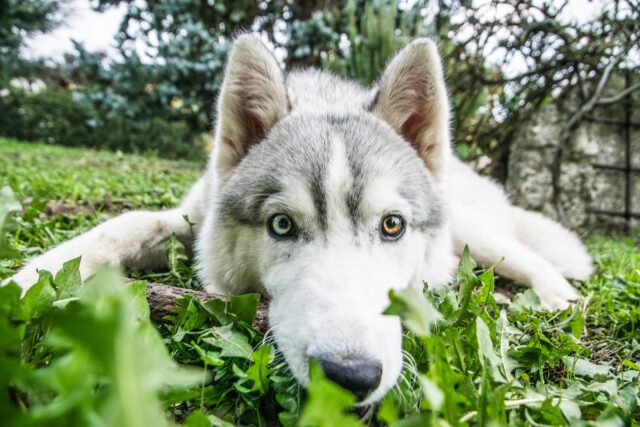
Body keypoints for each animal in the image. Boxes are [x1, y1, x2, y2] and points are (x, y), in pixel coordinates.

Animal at [6, 35, 596, 402]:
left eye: (392, 226)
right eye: (282, 226)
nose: (350, 376)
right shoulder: (188, 219)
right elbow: (120, 225)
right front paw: (26, 281)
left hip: (476, 232)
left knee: (530, 256)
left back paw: (557, 297)